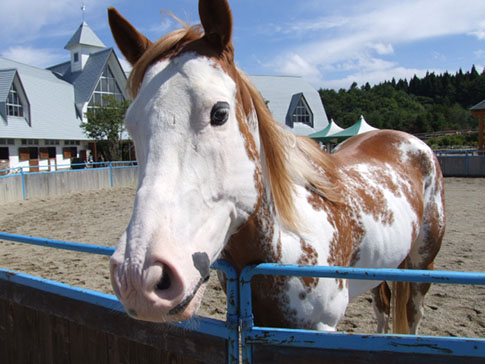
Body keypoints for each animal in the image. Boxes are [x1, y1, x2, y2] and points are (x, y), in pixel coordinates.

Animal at [108, 0, 444, 336]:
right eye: (131, 125)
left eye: (220, 113)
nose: (138, 276)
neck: (287, 243)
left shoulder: (322, 327)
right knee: (383, 308)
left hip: (422, 266)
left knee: (412, 314)